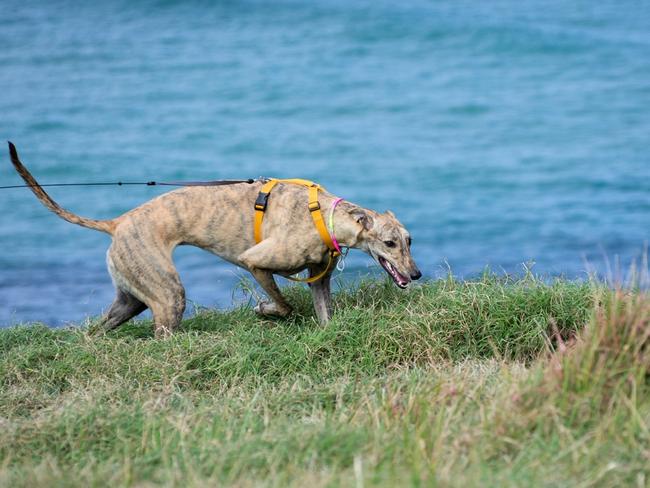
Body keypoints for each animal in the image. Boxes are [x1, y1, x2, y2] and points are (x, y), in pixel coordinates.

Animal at [8, 143, 420, 338]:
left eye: (409, 240)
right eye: (389, 243)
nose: (415, 274)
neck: (325, 215)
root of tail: (118, 222)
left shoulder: (319, 278)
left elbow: (323, 315)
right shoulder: (255, 261)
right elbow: (283, 305)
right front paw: (265, 311)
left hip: (131, 297)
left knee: (99, 328)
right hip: (168, 295)